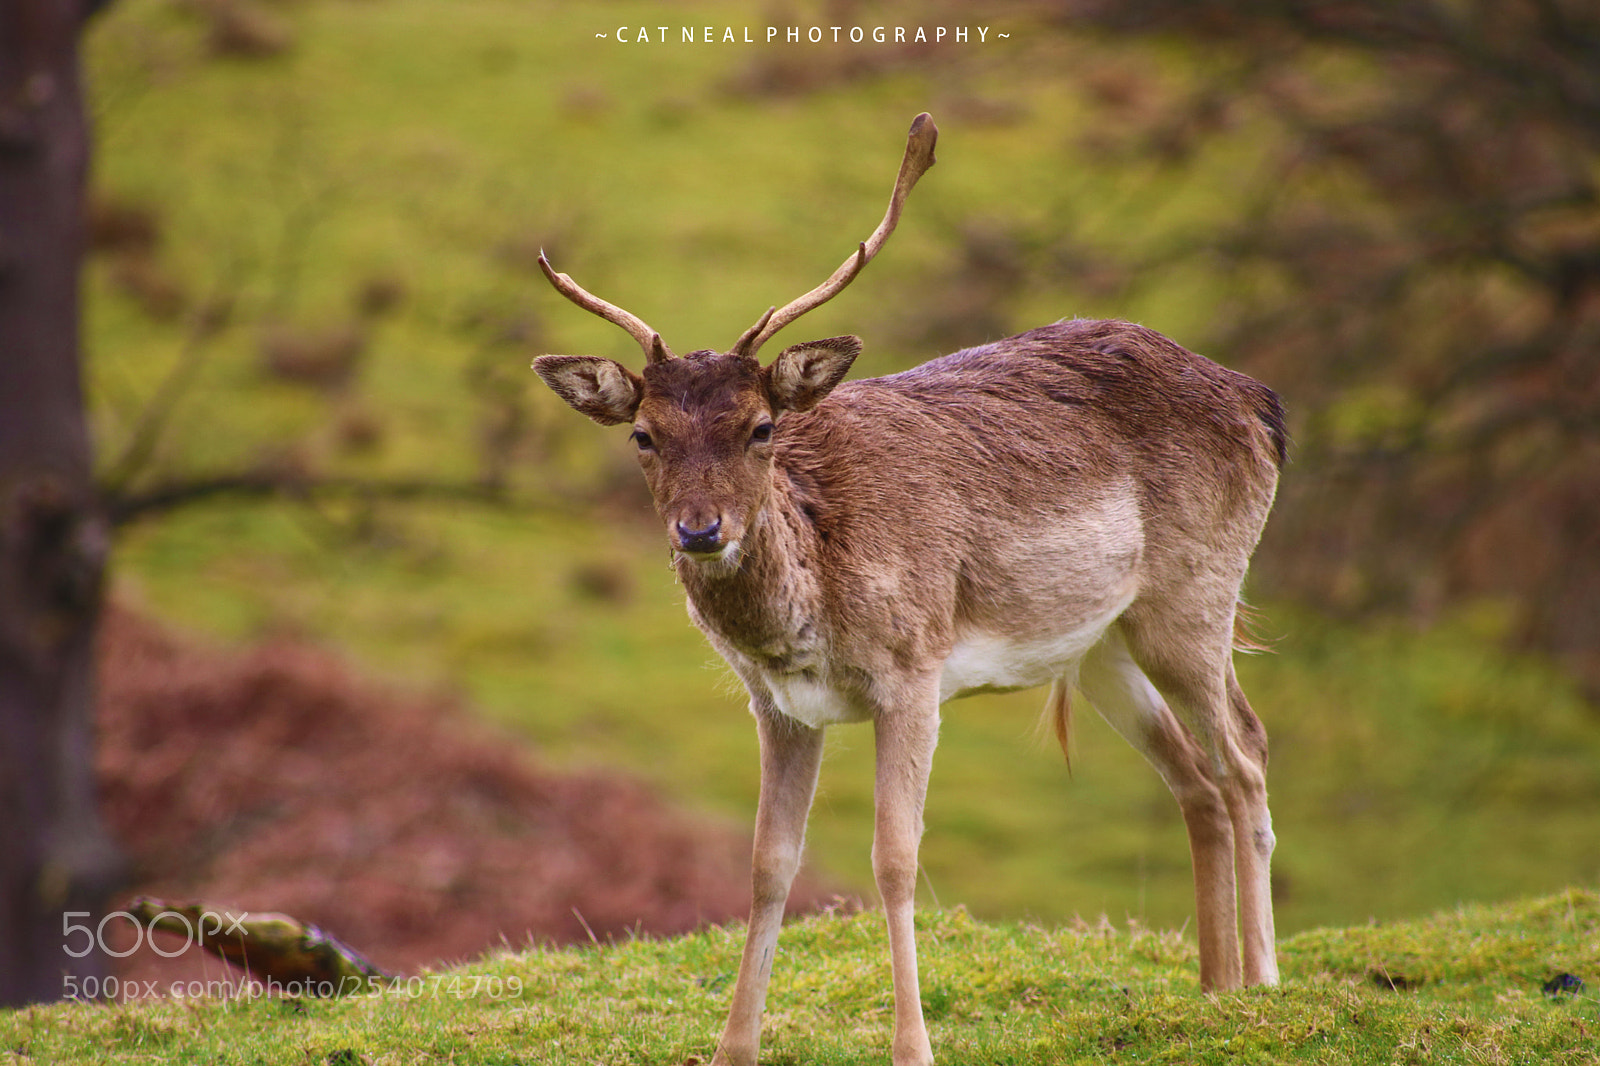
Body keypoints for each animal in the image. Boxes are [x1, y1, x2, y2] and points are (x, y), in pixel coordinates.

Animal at [531, 113, 1286, 1066]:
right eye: (642, 434)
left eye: (761, 427)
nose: (701, 531)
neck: (814, 603)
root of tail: (1260, 402)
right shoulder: (777, 704)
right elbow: (768, 864)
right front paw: (733, 1047)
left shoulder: (914, 668)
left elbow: (895, 857)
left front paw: (913, 1046)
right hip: (1099, 644)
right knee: (1194, 776)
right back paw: (1214, 989)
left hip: (1195, 592)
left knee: (1246, 750)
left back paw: (1264, 982)